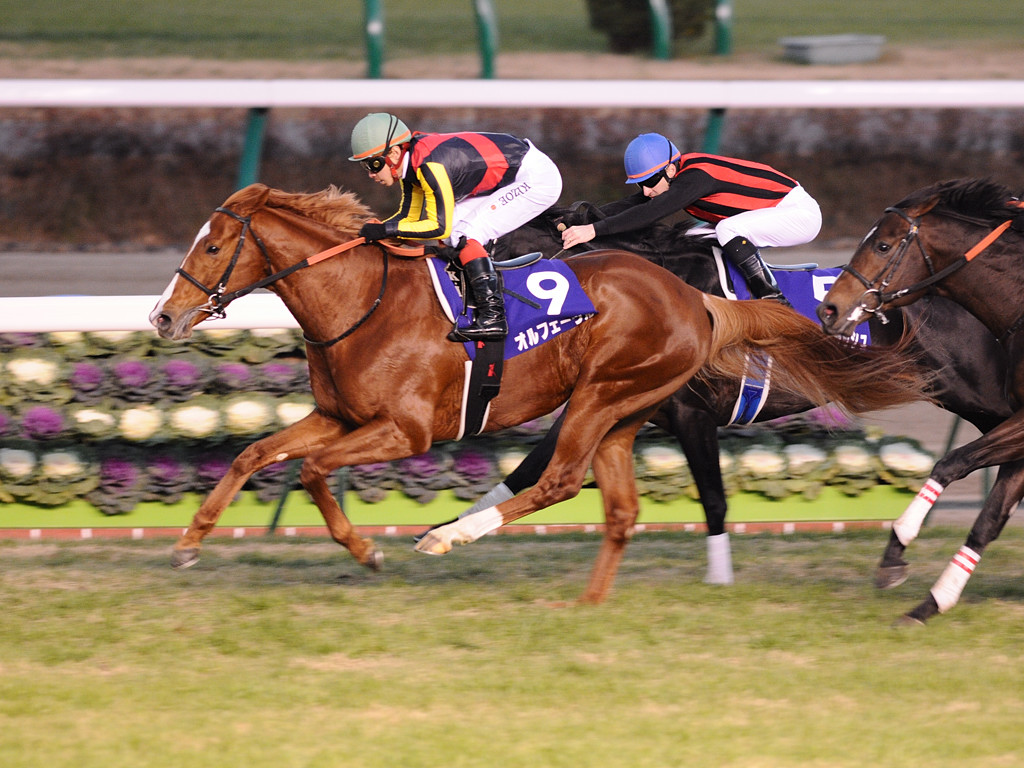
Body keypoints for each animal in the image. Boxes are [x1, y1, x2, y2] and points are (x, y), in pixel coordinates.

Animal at [151, 183, 929, 606]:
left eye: (213, 247)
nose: (162, 317)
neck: (364, 301)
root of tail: (699, 302)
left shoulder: (406, 431)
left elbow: (313, 471)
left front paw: (368, 551)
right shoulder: (337, 415)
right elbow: (254, 456)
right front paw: (188, 543)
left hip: (603, 394)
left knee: (560, 480)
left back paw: (448, 538)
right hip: (623, 408)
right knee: (614, 504)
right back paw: (585, 598)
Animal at [452, 202, 1011, 581]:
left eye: (488, 250)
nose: (472, 321)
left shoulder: (692, 415)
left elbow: (715, 500)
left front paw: (719, 579)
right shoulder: (607, 400)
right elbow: (528, 470)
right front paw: (456, 525)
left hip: (978, 394)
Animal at [819, 177, 1024, 622]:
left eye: (882, 245)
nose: (829, 309)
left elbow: (953, 461)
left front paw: (900, 541)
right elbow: (987, 520)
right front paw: (928, 601)